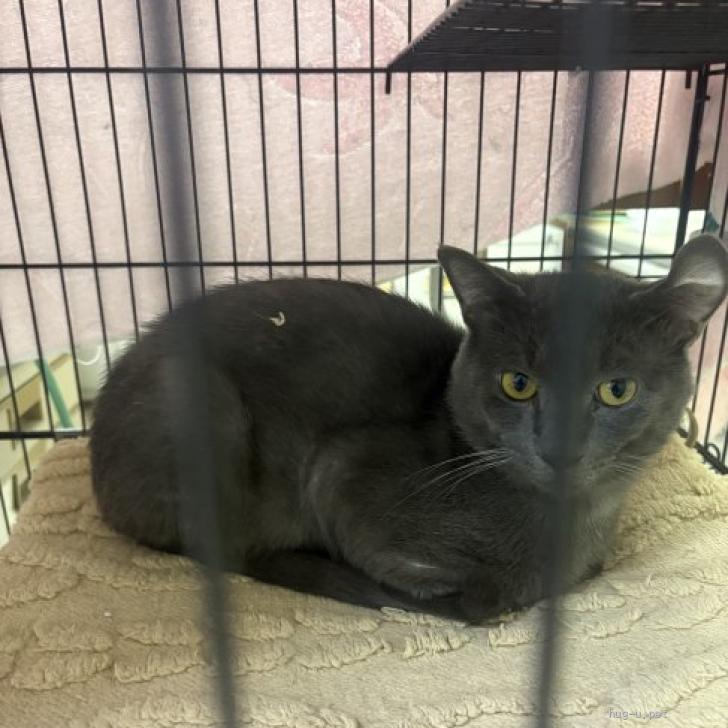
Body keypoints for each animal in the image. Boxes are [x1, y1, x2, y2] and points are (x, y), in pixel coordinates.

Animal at [90, 234, 728, 623]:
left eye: (617, 389)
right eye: (517, 383)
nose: (559, 448)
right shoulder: (340, 474)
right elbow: (469, 595)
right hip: (202, 405)